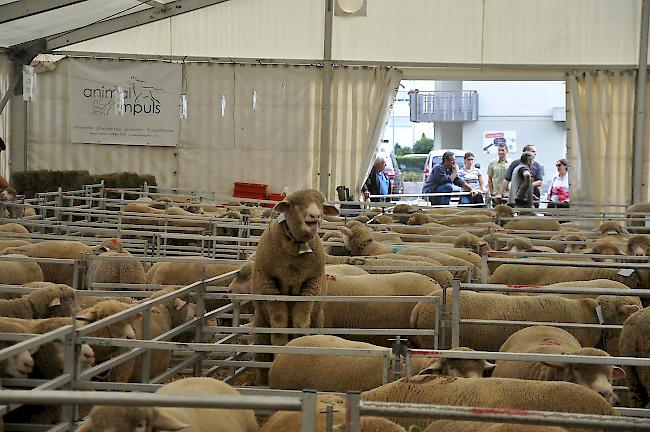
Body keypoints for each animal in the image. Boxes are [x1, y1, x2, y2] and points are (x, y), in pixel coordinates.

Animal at [251, 187, 336, 384]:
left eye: (321, 204)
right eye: (296, 203)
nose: (315, 216)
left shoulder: (310, 284)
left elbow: (300, 322)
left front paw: (298, 346)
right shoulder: (269, 285)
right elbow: (279, 325)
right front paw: (280, 349)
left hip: (318, 320)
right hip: (259, 328)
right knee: (261, 357)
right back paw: (262, 380)